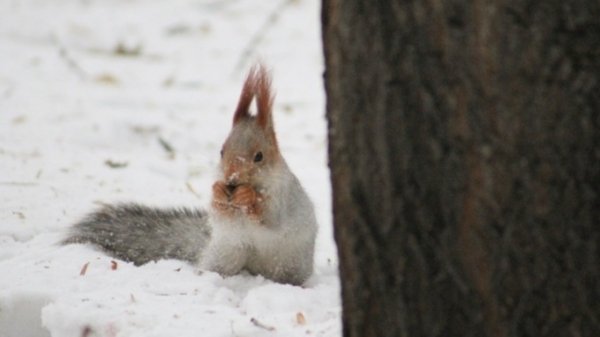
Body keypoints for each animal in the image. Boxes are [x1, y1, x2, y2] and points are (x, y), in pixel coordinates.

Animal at [62, 64, 318, 284]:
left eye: (259, 156)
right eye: (222, 151)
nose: (231, 177)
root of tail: (255, 271)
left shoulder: (283, 196)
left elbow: (271, 218)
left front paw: (248, 198)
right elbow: (220, 214)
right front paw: (218, 193)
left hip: (286, 263)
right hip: (226, 253)